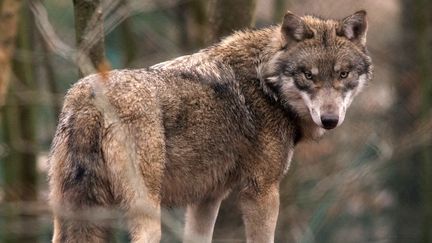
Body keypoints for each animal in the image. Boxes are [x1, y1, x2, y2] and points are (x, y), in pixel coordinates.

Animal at [49, 9, 372, 243]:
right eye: (308, 75)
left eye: (343, 74)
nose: (330, 120)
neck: (266, 85)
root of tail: (87, 97)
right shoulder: (261, 191)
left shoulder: (206, 198)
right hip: (147, 213)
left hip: (70, 213)